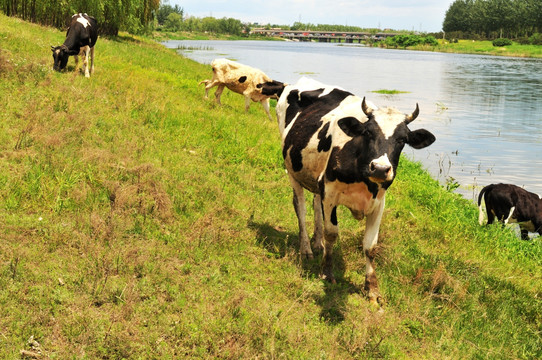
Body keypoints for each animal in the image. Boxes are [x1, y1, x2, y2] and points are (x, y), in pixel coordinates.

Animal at [262, 77, 436, 306]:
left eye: (402, 139)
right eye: (368, 132)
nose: (380, 168)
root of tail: (292, 84)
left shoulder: (378, 203)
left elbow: (370, 246)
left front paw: (372, 289)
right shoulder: (330, 194)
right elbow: (332, 233)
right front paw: (327, 273)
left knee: (315, 204)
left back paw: (317, 244)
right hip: (292, 169)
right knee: (300, 206)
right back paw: (306, 249)